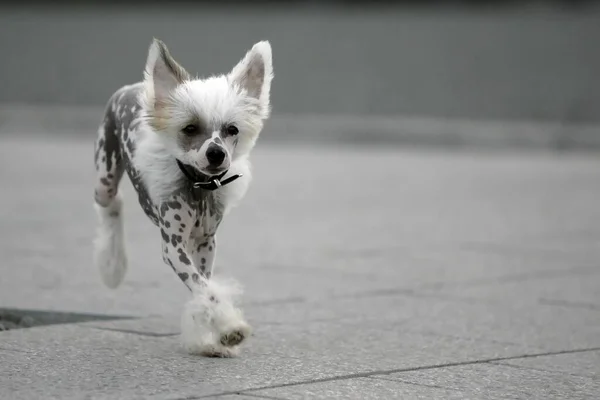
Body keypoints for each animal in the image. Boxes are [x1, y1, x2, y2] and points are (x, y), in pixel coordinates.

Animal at [92, 36, 274, 356]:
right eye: (189, 128)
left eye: (232, 129)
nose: (216, 153)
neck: (198, 186)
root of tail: (132, 87)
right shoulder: (173, 248)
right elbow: (205, 289)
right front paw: (229, 327)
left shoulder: (205, 244)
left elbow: (203, 287)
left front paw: (209, 338)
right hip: (105, 176)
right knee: (111, 203)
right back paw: (112, 265)